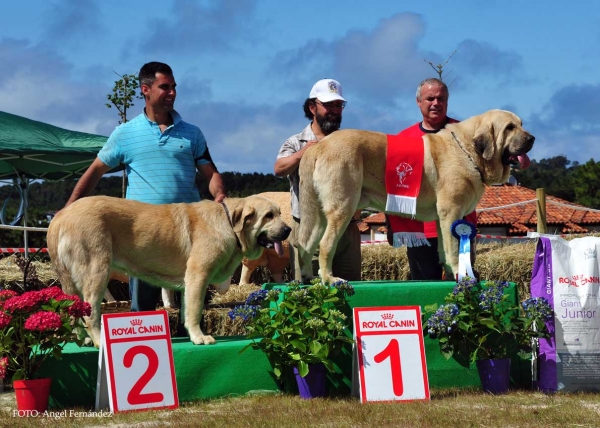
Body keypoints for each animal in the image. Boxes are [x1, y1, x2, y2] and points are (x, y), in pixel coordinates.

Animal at [48, 196, 292, 346]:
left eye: (280, 213)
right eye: (269, 215)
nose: (289, 229)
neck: (229, 224)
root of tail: (60, 217)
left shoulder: (189, 283)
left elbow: (186, 310)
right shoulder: (198, 276)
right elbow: (195, 310)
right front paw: (200, 337)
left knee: (74, 311)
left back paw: (84, 340)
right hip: (96, 271)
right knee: (90, 313)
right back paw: (99, 341)